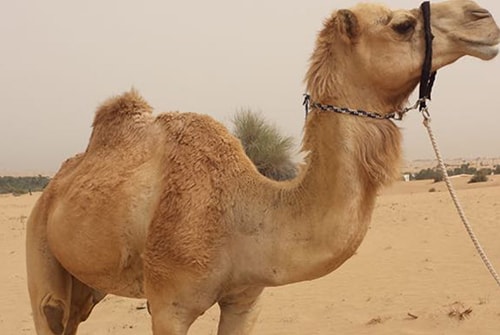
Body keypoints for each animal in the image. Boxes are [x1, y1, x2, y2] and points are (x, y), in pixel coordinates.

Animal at [27, 1, 500, 334]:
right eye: (402, 25)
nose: (484, 17)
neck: (242, 213)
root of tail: (53, 189)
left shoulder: (247, 299)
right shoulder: (167, 306)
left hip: (88, 283)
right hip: (40, 248)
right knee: (50, 312)